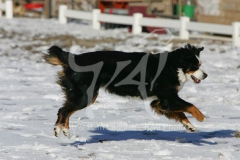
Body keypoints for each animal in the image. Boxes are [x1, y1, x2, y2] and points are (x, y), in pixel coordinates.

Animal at [43, 44, 208, 138]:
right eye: (195, 66)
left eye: (199, 64)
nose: (206, 75)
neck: (173, 66)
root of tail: (75, 58)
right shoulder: (169, 97)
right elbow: (191, 105)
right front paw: (201, 118)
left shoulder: (159, 102)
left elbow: (180, 113)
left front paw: (189, 126)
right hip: (86, 95)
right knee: (63, 110)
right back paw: (59, 129)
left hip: (82, 94)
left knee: (66, 109)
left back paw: (64, 130)